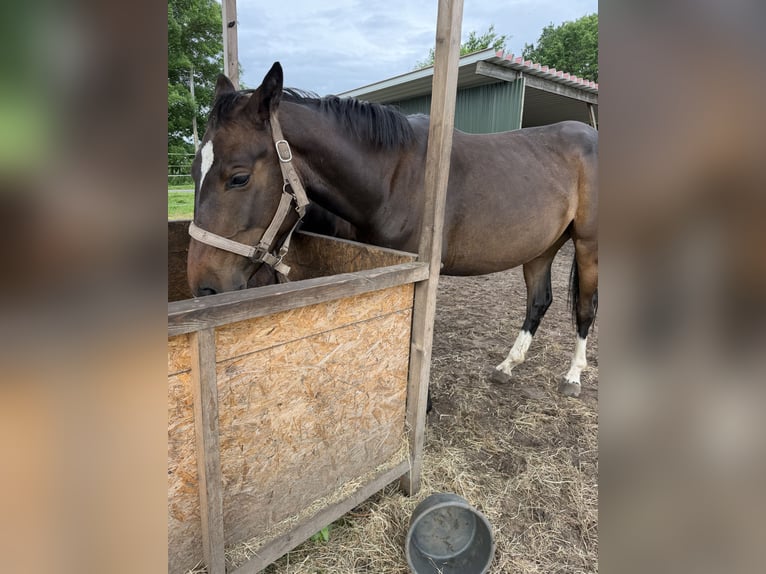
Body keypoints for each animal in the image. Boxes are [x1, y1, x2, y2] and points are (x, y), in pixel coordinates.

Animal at [187, 62, 598, 397]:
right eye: (193, 171)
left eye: (238, 177)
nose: (204, 288)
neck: (396, 176)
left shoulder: (421, 273)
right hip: (541, 248)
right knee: (539, 302)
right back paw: (508, 366)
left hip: (587, 246)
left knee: (585, 307)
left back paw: (573, 376)